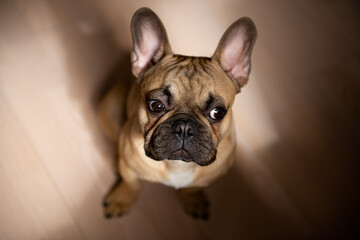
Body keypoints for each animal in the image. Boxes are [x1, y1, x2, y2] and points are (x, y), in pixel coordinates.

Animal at [98, 6, 256, 220]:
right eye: (156, 105)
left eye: (217, 112)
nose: (184, 127)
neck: (178, 165)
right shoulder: (130, 166)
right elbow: (131, 181)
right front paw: (123, 198)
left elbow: (193, 187)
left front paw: (193, 199)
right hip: (110, 105)